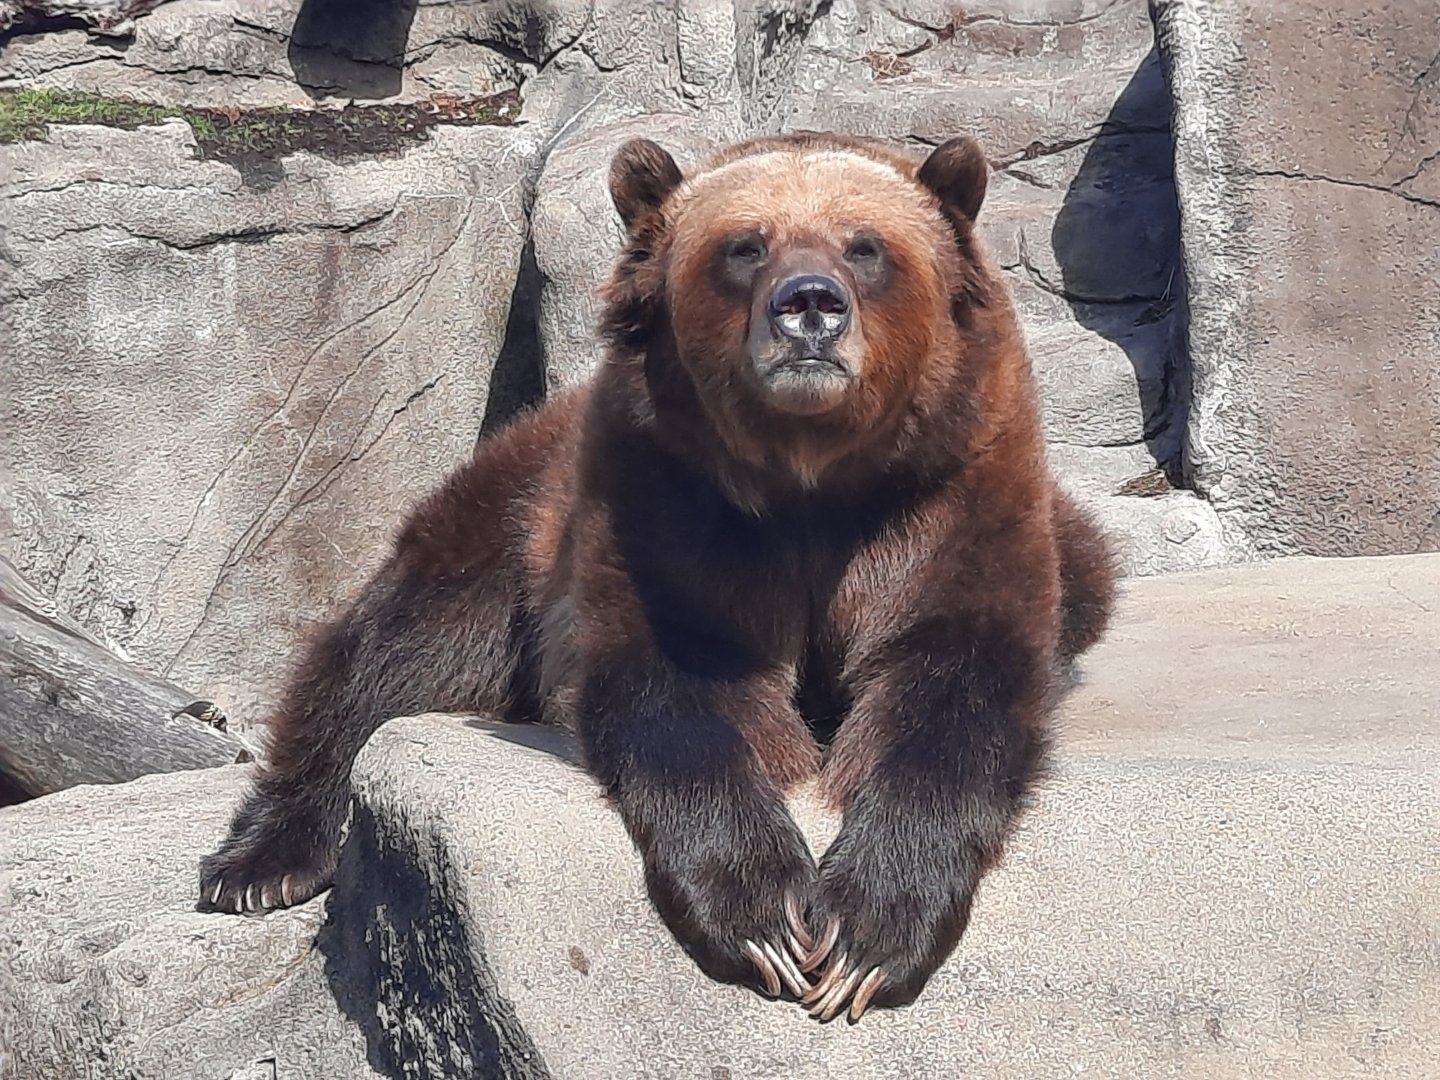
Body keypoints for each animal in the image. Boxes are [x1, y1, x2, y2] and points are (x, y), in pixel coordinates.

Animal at [197, 131, 1116, 1024]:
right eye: (745, 246)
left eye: (865, 245)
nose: (809, 305)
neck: (813, 478)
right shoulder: (665, 491)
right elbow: (677, 678)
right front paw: (766, 915)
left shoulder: (947, 493)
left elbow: (954, 678)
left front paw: (865, 932)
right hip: (509, 525)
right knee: (393, 656)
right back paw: (262, 861)